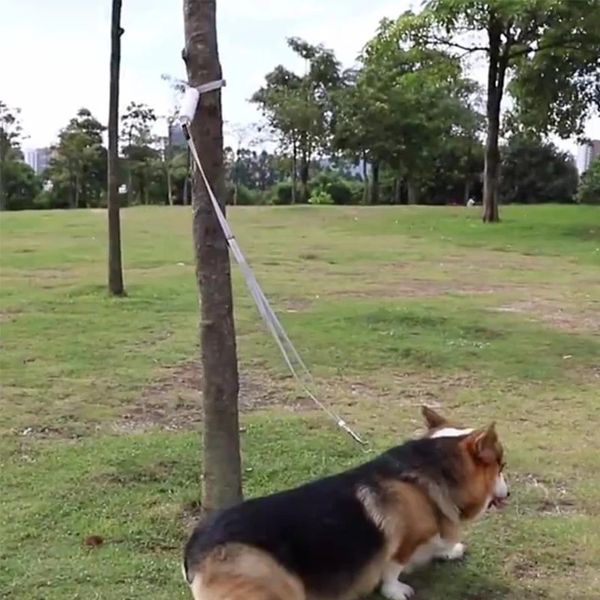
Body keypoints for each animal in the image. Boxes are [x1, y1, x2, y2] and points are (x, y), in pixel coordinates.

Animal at [182, 408, 506, 600]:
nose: (510, 493)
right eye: (502, 466)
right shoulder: (404, 542)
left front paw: (450, 550)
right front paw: (397, 590)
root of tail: (192, 553)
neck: (429, 470)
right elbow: (393, 569)